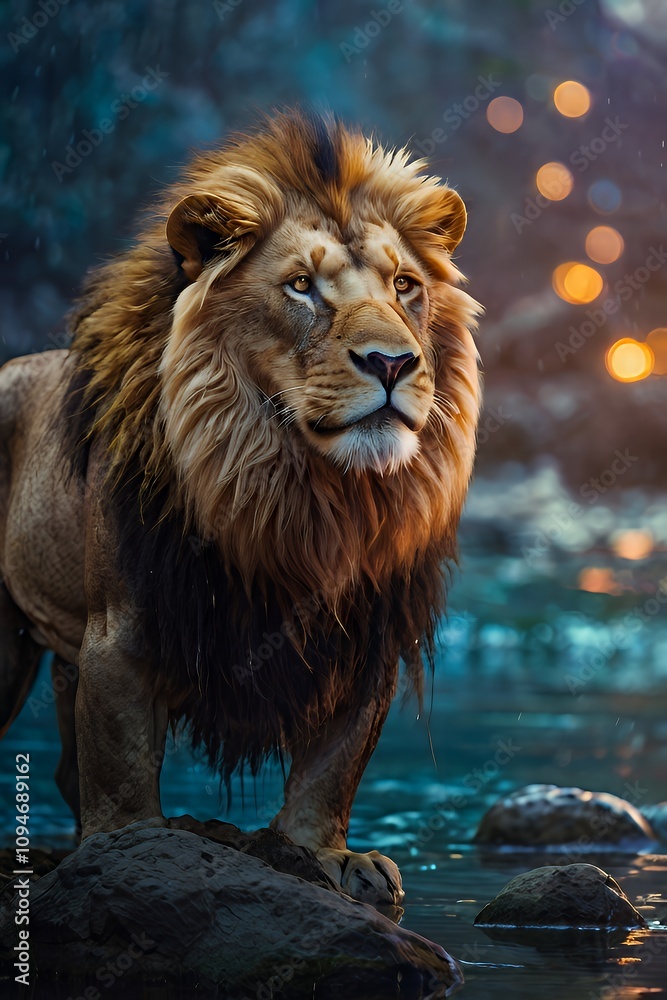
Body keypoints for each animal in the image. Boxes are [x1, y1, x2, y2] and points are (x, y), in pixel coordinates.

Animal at [0, 111, 481, 905]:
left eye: (405, 285)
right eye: (301, 287)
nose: (392, 363)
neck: (299, 488)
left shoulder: (367, 636)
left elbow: (334, 765)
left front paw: (329, 855)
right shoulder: (123, 628)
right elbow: (121, 760)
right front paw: (131, 848)